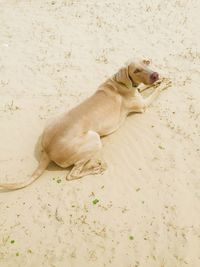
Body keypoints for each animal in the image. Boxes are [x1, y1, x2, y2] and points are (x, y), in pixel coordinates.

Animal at [0, 60, 172, 192]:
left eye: (146, 63)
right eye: (136, 70)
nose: (155, 74)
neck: (119, 82)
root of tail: (48, 151)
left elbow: (145, 87)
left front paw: (160, 80)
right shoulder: (143, 105)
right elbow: (155, 92)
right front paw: (163, 84)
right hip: (94, 138)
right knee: (73, 173)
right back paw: (95, 168)